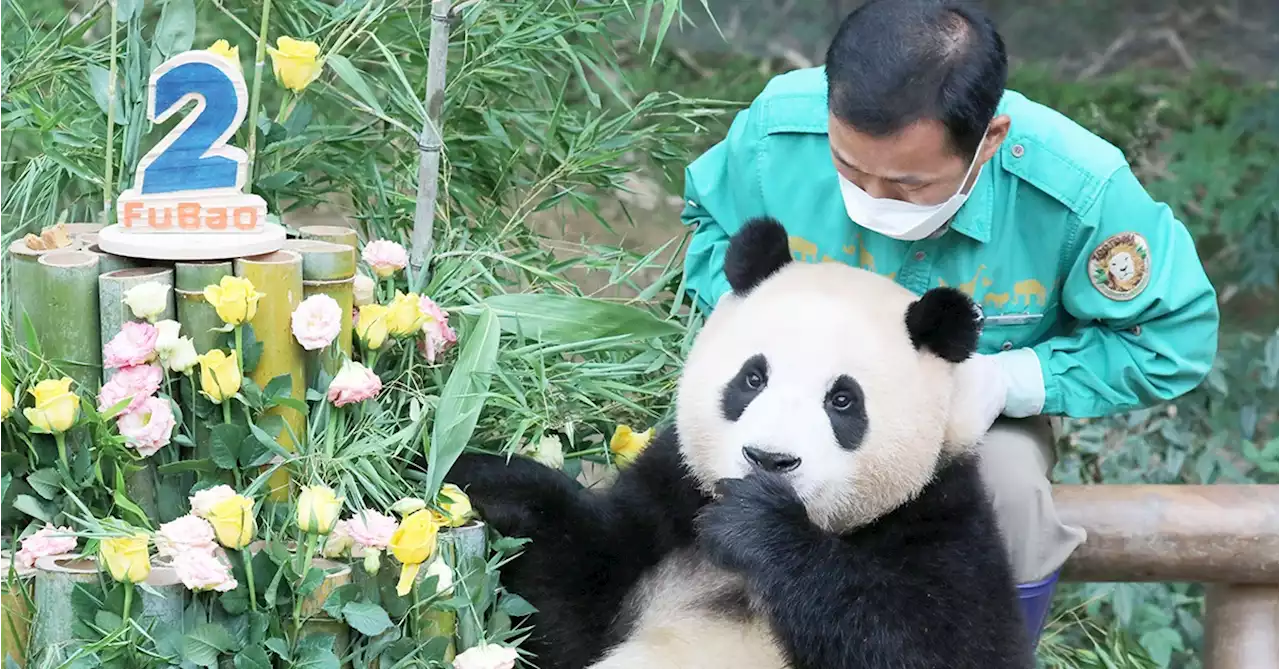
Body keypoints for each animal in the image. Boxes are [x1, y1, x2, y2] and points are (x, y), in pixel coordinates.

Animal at [450, 217, 1029, 665]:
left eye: (843, 401)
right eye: (752, 378)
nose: (768, 459)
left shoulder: (941, 522)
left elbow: (936, 647)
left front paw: (758, 525)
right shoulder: (671, 499)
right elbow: (573, 591)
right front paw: (478, 481)